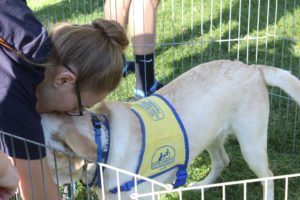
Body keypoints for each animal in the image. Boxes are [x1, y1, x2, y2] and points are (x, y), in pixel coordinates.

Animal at [42, 59, 300, 200]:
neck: (105, 147)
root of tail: (251, 67)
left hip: (251, 144)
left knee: (268, 176)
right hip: (210, 135)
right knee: (222, 161)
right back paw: (201, 185)